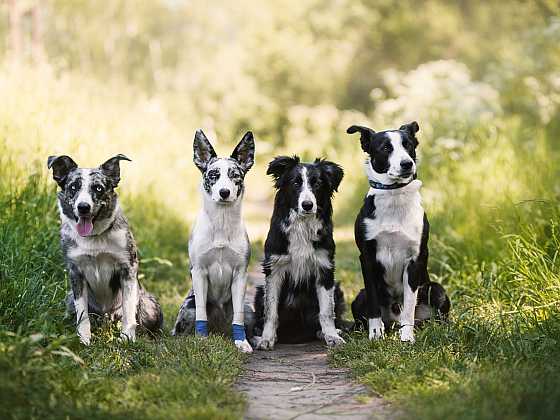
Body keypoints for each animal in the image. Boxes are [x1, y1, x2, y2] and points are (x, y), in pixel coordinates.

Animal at [47, 154, 163, 344]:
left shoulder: (128, 269)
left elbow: (129, 309)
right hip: (69, 299)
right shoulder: (76, 273)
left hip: (150, 305)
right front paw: (84, 339)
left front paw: (127, 338)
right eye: (73, 187)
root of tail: (106, 319)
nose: (83, 207)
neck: (94, 237)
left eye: (98, 188)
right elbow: (82, 313)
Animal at [172, 130, 258, 352]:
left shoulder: (240, 275)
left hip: (249, 309)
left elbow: (238, 318)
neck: (221, 222)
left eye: (235, 175)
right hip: (188, 307)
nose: (224, 192)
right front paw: (201, 339)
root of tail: (219, 329)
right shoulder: (199, 273)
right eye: (213, 175)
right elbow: (202, 312)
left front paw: (242, 341)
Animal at [253, 154, 348, 348]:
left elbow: (326, 311)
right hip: (259, 292)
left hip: (337, 289)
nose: (307, 205)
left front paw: (332, 336)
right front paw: (267, 338)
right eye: (296, 183)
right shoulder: (274, 269)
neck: (302, 224)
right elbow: (271, 310)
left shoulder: (325, 268)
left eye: (317, 183)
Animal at [346, 120, 450, 342]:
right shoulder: (367, 257)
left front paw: (407, 336)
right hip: (359, 297)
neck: (394, 196)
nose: (407, 164)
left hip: (436, 289)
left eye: (408, 145)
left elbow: (409, 304)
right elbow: (374, 303)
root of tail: (392, 320)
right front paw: (375, 333)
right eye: (386, 148)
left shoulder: (415, 259)